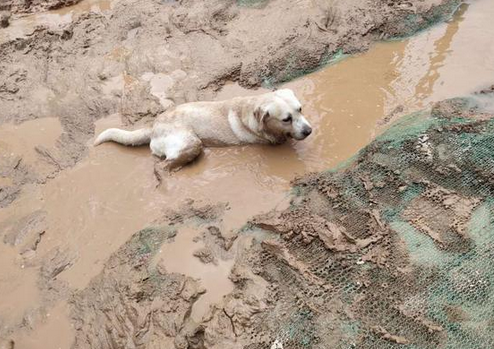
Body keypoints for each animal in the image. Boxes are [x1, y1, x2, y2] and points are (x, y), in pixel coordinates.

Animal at [93, 88, 312, 170]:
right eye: (286, 119)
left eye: (300, 109)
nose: (309, 131)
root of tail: (153, 125)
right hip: (191, 143)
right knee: (163, 166)